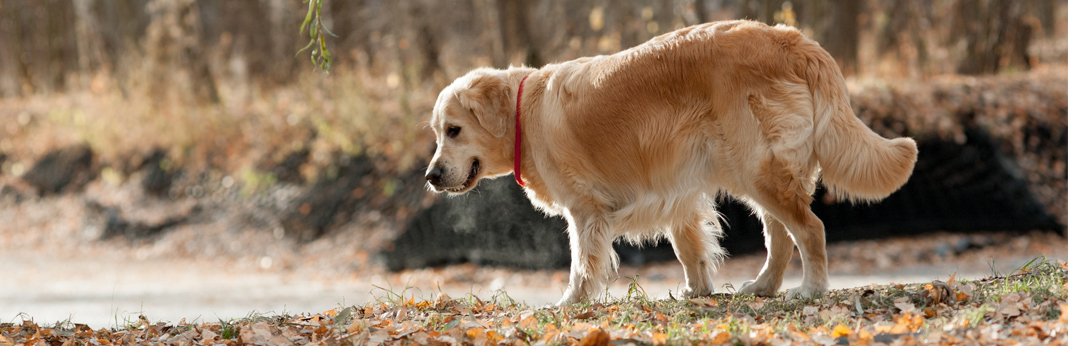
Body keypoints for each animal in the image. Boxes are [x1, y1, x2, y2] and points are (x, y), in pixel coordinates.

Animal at [425, 20, 918, 303]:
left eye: (453, 131)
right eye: (436, 133)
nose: (430, 176)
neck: (526, 113)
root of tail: (791, 38)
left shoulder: (585, 211)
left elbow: (582, 263)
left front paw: (571, 303)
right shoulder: (674, 191)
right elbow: (689, 250)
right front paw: (697, 291)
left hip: (758, 171)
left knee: (809, 230)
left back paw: (811, 290)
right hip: (753, 173)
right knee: (780, 235)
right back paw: (763, 287)